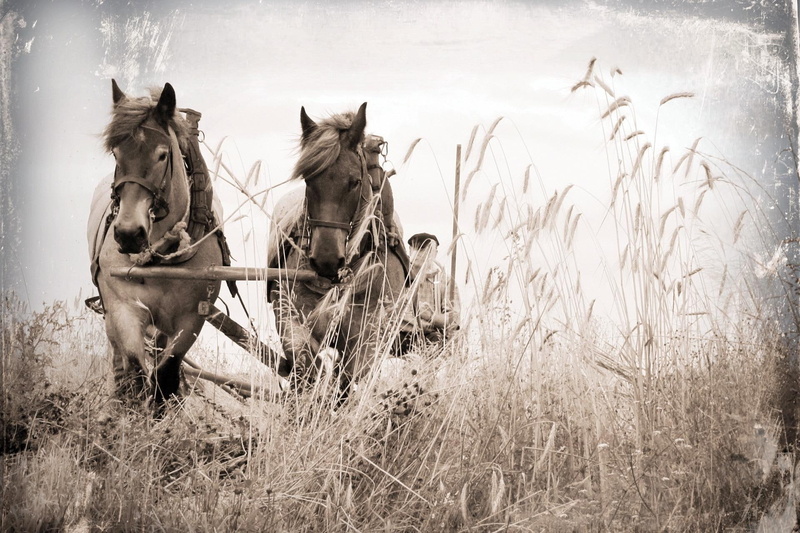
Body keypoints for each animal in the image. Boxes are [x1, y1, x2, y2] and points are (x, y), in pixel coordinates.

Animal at [92, 80, 223, 405]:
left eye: (162, 155)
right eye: (116, 153)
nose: (129, 233)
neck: (160, 258)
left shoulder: (191, 319)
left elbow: (166, 374)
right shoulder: (123, 308)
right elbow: (137, 370)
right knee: (119, 360)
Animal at [267, 103, 408, 400]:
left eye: (354, 182)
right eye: (308, 179)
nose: (326, 260)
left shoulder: (370, 336)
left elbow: (349, 378)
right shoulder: (288, 314)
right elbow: (304, 361)